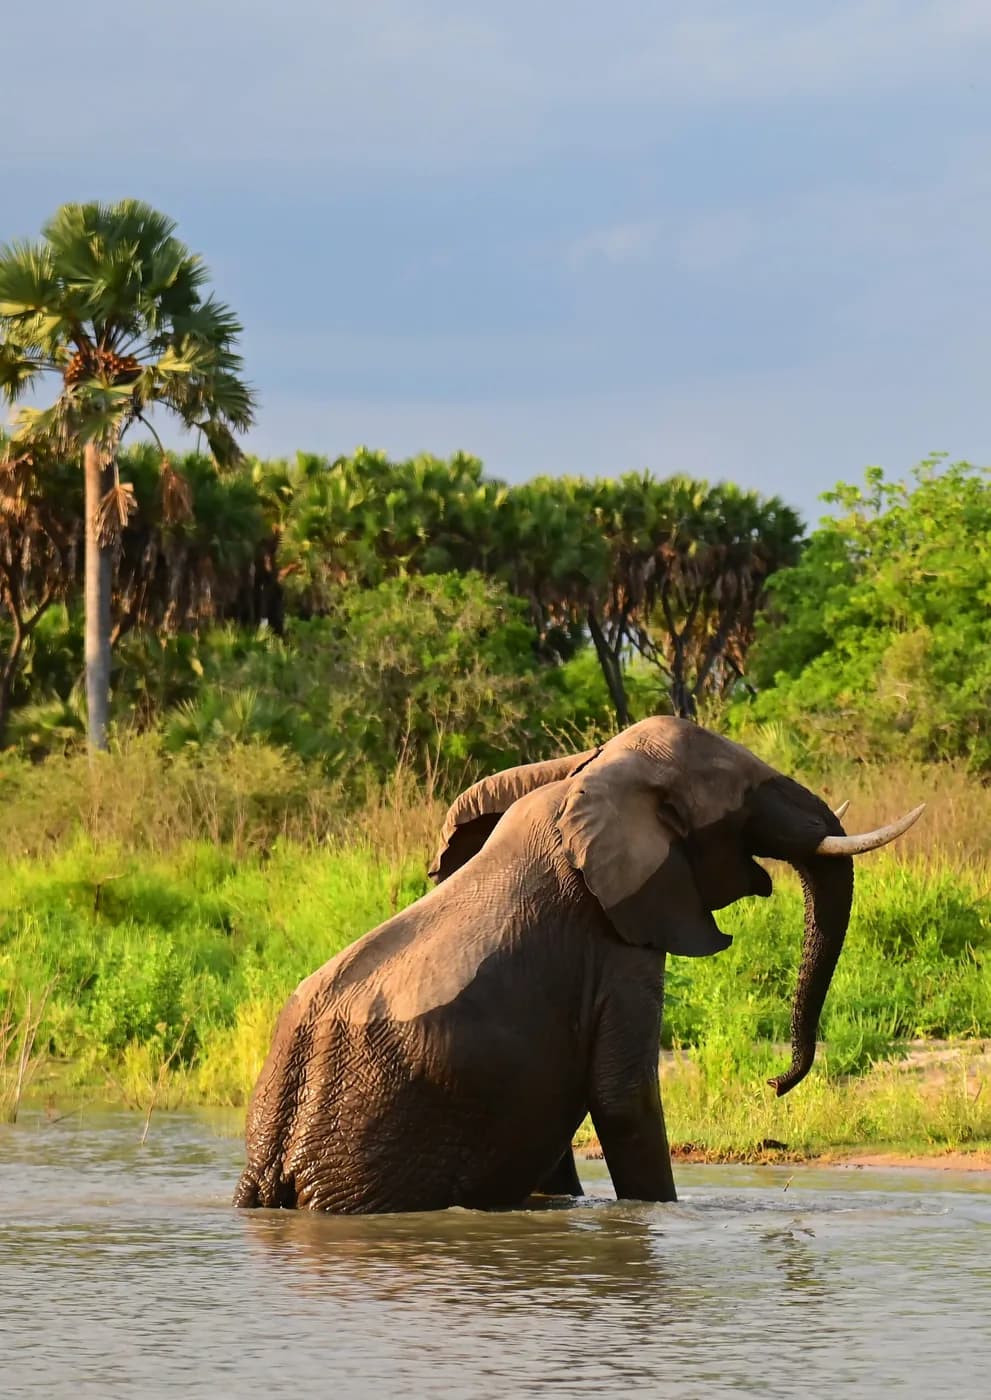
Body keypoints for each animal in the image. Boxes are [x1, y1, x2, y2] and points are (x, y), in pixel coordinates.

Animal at [233, 717, 922, 1214]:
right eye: (748, 797)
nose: (775, 1084)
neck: (590, 776)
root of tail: (269, 1163)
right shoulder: (614, 944)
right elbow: (623, 1099)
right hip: (373, 1153)